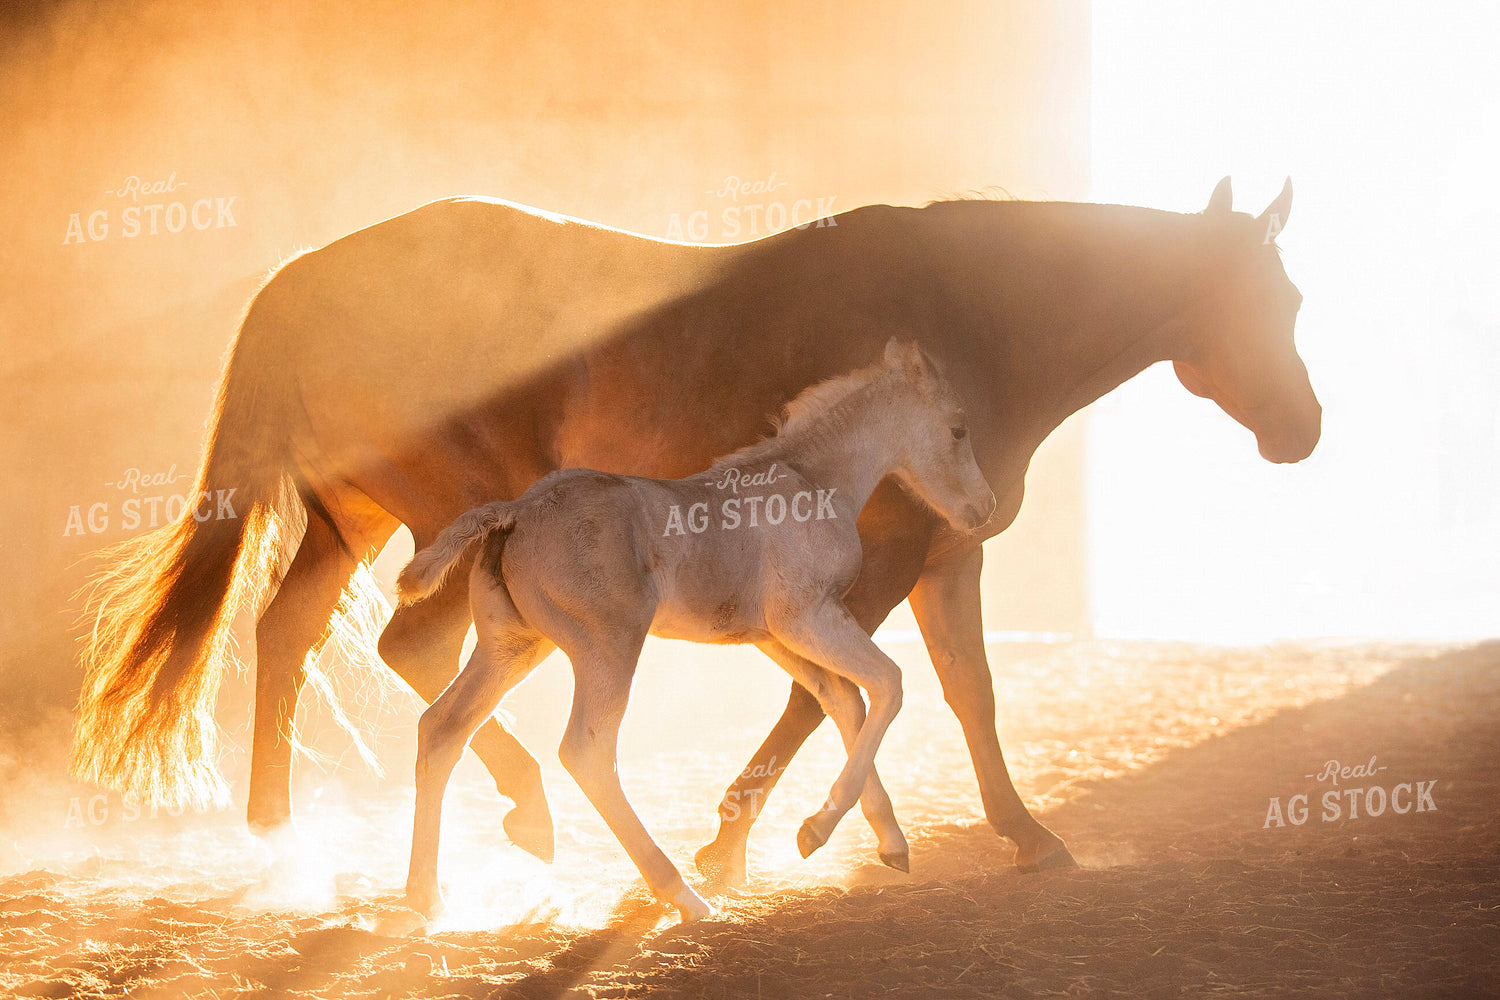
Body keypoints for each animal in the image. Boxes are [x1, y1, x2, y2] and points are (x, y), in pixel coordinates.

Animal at [395, 339, 996, 922]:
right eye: (959, 428)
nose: (984, 508)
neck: (815, 480)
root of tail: (518, 509)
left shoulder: (776, 636)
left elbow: (843, 700)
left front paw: (883, 842)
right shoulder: (808, 615)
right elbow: (888, 684)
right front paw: (816, 831)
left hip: (512, 646)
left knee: (441, 729)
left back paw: (427, 899)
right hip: (608, 646)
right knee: (587, 751)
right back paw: (683, 896)